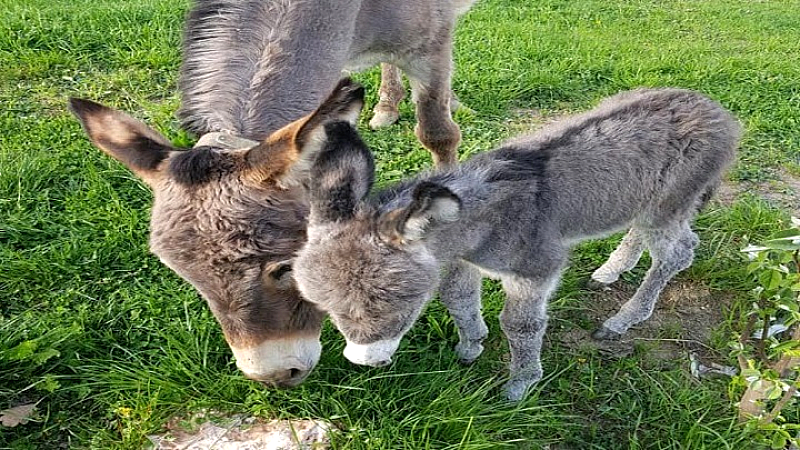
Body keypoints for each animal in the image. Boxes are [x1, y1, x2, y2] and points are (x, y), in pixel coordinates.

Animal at [290, 88, 740, 400]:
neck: (481, 225)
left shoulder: (534, 268)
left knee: (679, 251)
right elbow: (458, 300)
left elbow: (520, 325)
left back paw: (623, 319)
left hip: (670, 202)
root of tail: (718, 111)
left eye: (393, 303)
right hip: (643, 201)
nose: (363, 361)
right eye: (325, 307)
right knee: (646, 233)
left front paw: (520, 386)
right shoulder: (461, 260)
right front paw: (470, 345)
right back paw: (611, 270)